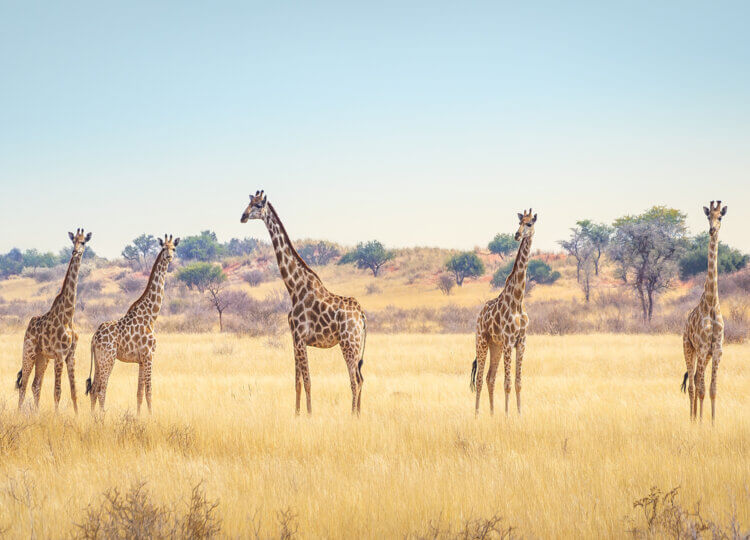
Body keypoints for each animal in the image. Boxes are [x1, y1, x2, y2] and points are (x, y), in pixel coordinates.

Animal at [16, 229, 92, 414]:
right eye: (73, 241)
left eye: (83, 242)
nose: (75, 251)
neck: (69, 316)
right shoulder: (60, 354)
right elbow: (57, 391)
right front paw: (57, 416)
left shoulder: (71, 355)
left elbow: (74, 391)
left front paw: (77, 416)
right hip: (29, 352)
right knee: (24, 384)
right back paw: (19, 414)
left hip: (42, 357)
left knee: (36, 384)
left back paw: (36, 414)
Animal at [86, 233, 180, 414]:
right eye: (163, 247)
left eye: (174, 248)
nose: (169, 256)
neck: (151, 316)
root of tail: (94, 338)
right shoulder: (149, 356)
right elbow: (149, 391)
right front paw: (151, 417)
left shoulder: (141, 360)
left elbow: (139, 393)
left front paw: (138, 417)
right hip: (108, 358)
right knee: (101, 389)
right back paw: (101, 417)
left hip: (99, 360)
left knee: (93, 389)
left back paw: (92, 417)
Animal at [242, 190, 368, 414]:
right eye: (248, 203)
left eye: (257, 205)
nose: (243, 216)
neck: (294, 287)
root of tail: (361, 316)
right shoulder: (294, 338)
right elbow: (298, 382)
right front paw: (297, 414)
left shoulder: (301, 338)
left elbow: (308, 381)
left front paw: (309, 415)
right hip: (355, 344)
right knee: (361, 379)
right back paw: (359, 415)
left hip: (349, 343)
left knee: (355, 380)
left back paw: (353, 415)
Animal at [468, 209, 536, 416]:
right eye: (519, 222)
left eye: (530, 223)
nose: (517, 235)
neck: (518, 300)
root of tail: (479, 315)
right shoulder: (508, 341)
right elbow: (507, 383)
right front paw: (507, 416)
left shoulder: (521, 342)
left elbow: (518, 382)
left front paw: (519, 414)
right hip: (482, 341)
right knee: (480, 378)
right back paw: (477, 415)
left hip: (495, 345)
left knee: (490, 377)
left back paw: (491, 414)